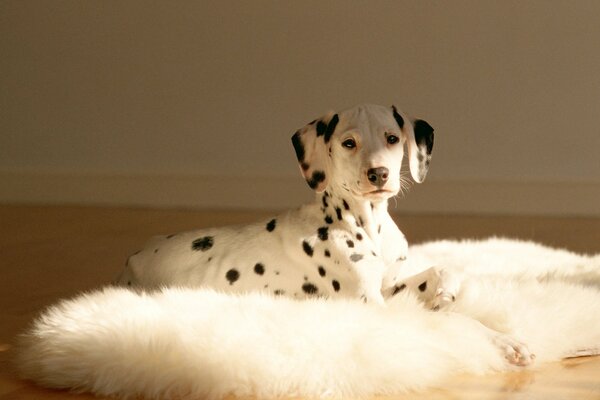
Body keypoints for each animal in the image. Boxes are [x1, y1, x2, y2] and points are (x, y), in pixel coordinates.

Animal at [117, 104, 536, 368]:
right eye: (349, 143)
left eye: (392, 138)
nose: (379, 174)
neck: (365, 224)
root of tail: (131, 261)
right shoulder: (375, 308)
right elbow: (457, 324)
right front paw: (506, 342)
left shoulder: (386, 288)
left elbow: (442, 270)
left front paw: (445, 291)